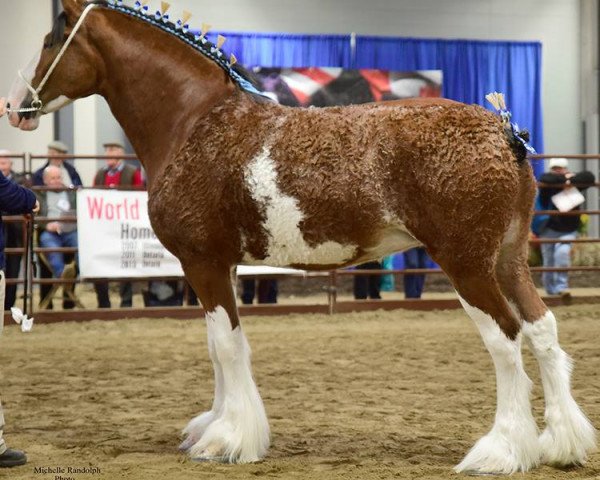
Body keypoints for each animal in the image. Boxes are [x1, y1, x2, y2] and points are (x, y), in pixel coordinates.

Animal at [1, 0, 596, 472]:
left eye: (52, 38)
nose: (14, 107)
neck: (195, 121)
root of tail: (504, 132)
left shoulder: (203, 261)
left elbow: (226, 344)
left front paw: (227, 440)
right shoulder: (220, 265)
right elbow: (219, 346)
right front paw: (215, 426)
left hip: (466, 264)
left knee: (506, 339)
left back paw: (501, 451)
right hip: (508, 260)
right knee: (542, 330)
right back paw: (560, 444)